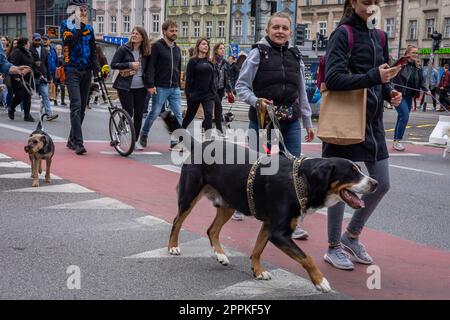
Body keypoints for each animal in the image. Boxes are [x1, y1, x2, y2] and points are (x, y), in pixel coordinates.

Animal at [167, 139, 378, 294]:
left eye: (359, 170)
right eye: (351, 173)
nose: (375, 183)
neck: (302, 181)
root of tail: (200, 144)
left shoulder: (269, 226)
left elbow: (258, 249)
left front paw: (258, 271)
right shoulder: (279, 233)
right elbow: (307, 258)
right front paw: (320, 281)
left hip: (228, 203)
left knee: (212, 230)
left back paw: (220, 254)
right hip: (189, 195)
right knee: (177, 221)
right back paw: (173, 247)